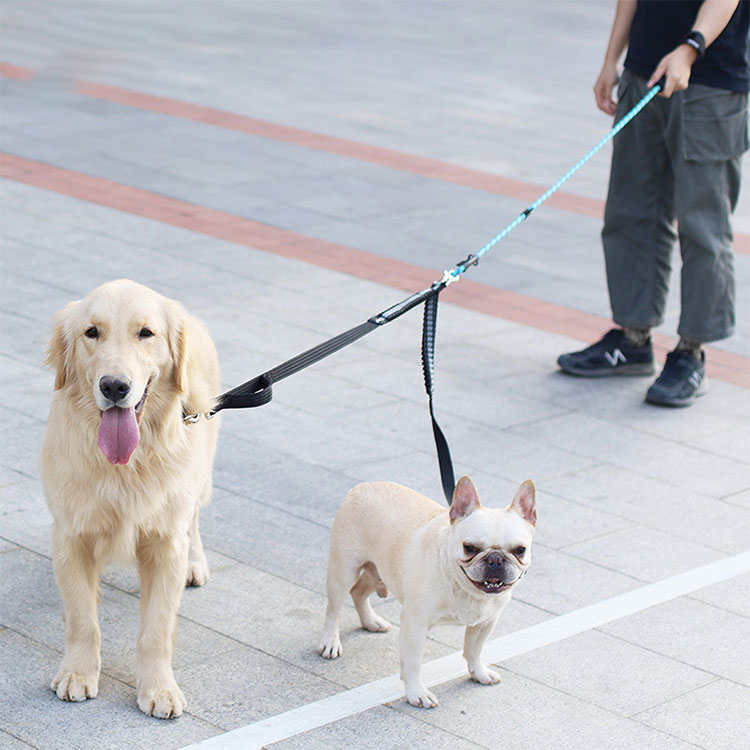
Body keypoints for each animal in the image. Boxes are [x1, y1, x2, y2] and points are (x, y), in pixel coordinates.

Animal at [40, 280, 220, 720]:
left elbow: (156, 629)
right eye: (91, 332)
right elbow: (82, 619)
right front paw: (77, 672)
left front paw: (159, 688)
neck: (124, 466)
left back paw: (196, 562)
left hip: (199, 472)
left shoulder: (165, 543)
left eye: (146, 333)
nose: (114, 387)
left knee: (193, 519)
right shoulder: (71, 536)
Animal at [320, 478, 536, 708]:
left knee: (359, 592)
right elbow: (413, 662)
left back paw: (371, 621)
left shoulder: (485, 622)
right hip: (343, 571)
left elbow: (474, 649)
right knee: (334, 609)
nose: (495, 559)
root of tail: (362, 486)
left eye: (520, 550)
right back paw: (330, 642)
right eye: (469, 548)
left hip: (379, 570)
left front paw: (479, 672)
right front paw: (417, 692)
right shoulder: (415, 625)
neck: (463, 588)